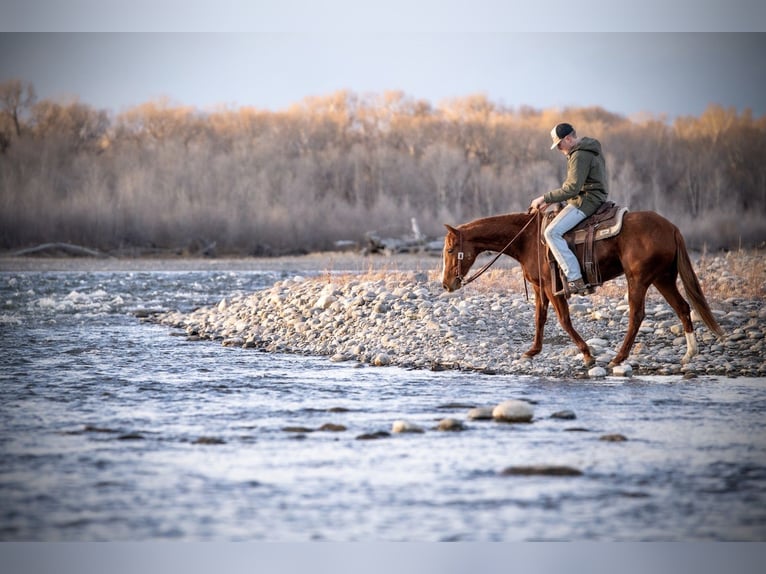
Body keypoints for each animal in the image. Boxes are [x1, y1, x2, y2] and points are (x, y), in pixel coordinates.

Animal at [442, 209, 723, 369]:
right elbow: (539, 318)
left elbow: (563, 320)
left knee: (637, 315)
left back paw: (618, 358)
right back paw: (689, 354)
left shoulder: (553, 289)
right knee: (683, 307)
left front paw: (587, 354)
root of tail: (672, 228)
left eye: (450, 250)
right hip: (663, 279)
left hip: (639, 279)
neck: (527, 240)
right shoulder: (539, 288)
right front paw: (532, 351)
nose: (446, 284)